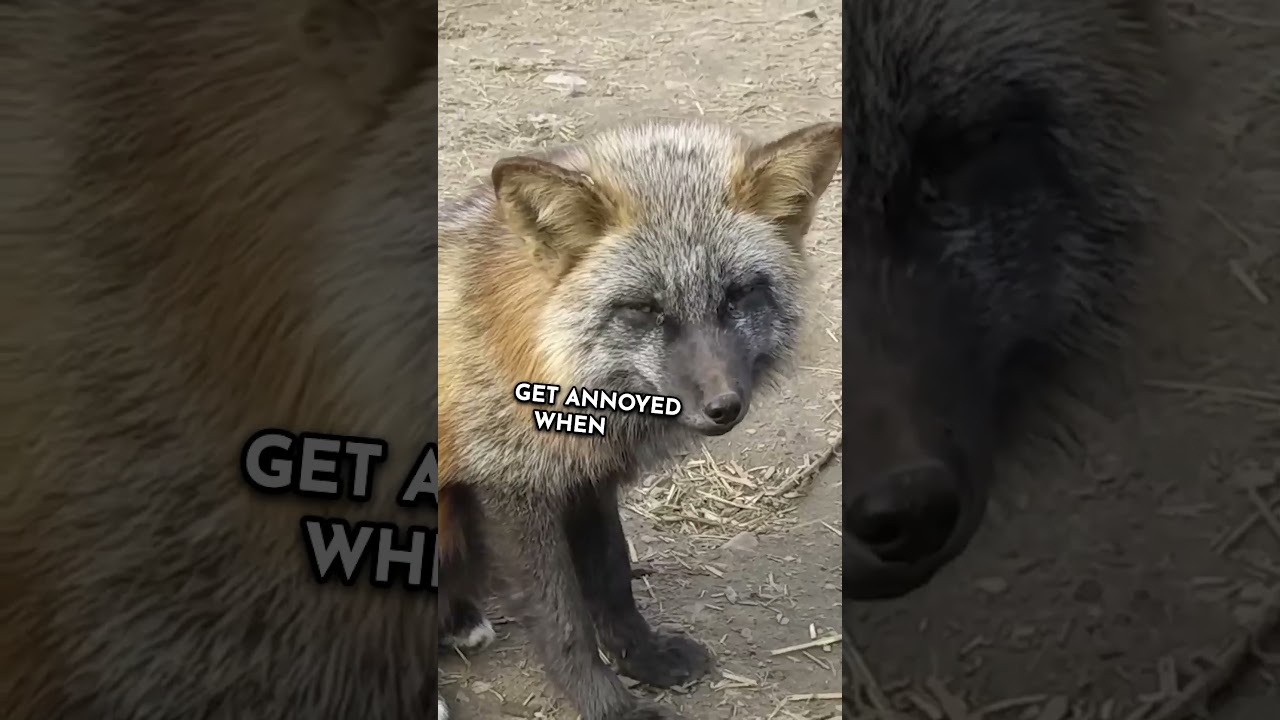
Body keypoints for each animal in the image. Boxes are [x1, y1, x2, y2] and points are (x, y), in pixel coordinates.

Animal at [436, 119, 842, 720]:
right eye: (645, 309)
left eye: (739, 295)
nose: (723, 407)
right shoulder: (511, 484)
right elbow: (564, 623)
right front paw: (611, 707)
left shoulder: (585, 478)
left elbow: (613, 578)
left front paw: (642, 657)